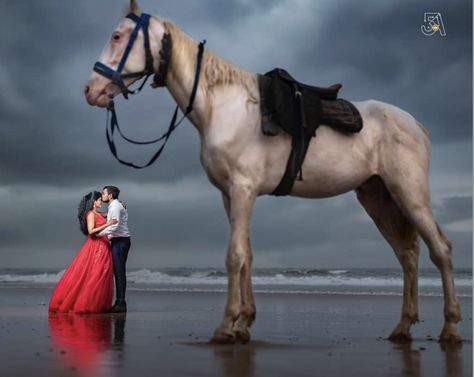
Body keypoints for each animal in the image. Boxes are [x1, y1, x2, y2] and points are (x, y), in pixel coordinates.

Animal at [83, 0, 462, 342]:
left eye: (117, 36)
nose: (91, 91)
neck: (224, 107)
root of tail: (415, 124)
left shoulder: (242, 189)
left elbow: (235, 256)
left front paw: (227, 326)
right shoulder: (231, 196)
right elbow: (247, 254)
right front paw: (244, 323)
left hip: (409, 194)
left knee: (440, 249)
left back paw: (451, 327)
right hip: (378, 198)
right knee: (407, 256)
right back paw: (402, 327)